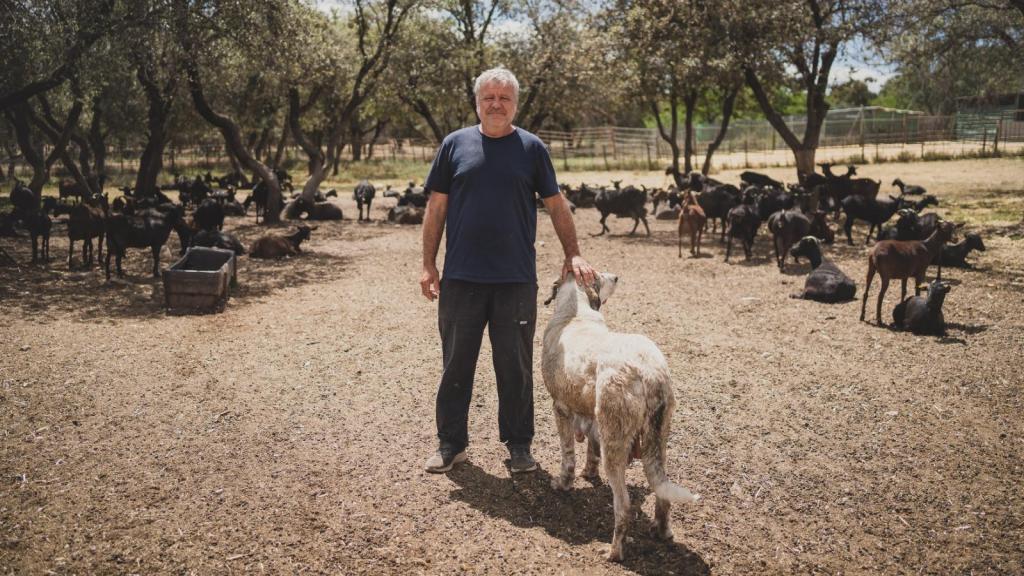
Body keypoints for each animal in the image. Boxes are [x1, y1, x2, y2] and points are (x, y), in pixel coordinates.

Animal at [540, 272, 700, 561]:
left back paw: (613, 552)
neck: (577, 312)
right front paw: (588, 473)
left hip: (615, 445)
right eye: (597, 276)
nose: (615, 276)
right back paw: (662, 532)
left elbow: (567, 456)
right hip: (657, 440)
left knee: (624, 506)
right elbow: (590, 450)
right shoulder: (593, 419)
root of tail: (649, 371)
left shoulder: (560, 408)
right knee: (662, 493)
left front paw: (563, 483)